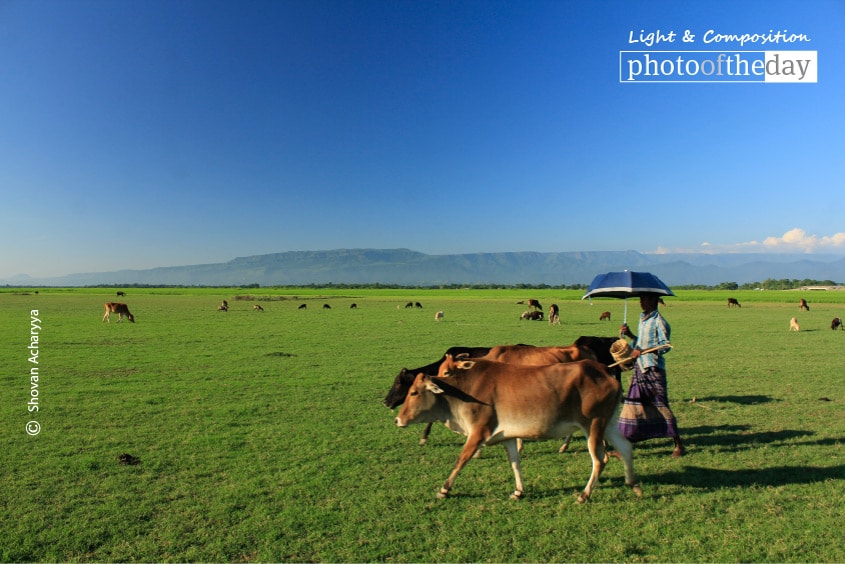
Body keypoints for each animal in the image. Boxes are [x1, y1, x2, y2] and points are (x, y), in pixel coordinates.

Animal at [396, 360, 640, 500]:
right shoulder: (508, 437)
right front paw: (518, 490)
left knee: (600, 460)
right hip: (608, 425)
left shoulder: (478, 432)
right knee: (626, 448)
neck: (462, 392)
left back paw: (585, 494)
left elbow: (461, 460)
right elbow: (515, 463)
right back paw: (633, 484)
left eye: (414, 393)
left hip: (593, 425)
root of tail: (606, 373)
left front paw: (444, 489)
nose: (398, 419)